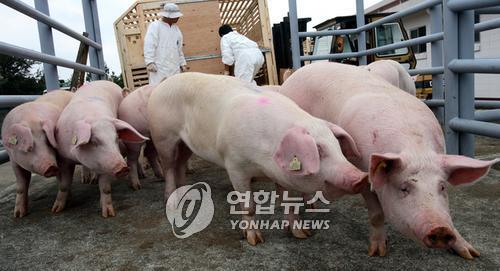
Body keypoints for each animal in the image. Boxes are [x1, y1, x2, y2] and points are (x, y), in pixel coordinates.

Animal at [1, 90, 73, 218]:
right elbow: (21, 186)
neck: (30, 117)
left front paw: (56, 210)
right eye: (30, 148)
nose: (51, 166)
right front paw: (18, 215)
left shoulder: (64, 159)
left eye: (48, 142)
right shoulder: (14, 161)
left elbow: (65, 182)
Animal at [55, 79, 148, 218]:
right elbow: (64, 185)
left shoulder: (104, 163)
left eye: (116, 138)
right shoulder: (64, 158)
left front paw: (108, 215)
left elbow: (105, 188)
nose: (122, 167)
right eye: (94, 141)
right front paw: (56, 210)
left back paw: (140, 181)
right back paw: (90, 180)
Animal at [147, 73, 368, 246]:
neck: (264, 160)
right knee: (169, 167)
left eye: (337, 147)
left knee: (180, 164)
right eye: (319, 150)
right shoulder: (235, 166)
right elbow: (249, 205)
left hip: (185, 144)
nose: (361, 177)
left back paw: (186, 195)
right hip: (163, 137)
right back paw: (172, 202)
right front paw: (254, 240)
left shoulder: (282, 174)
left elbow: (289, 202)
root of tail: (162, 84)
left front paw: (302, 234)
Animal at [280, 62, 498, 262]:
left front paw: (472, 254)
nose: (440, 229)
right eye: (404, 188)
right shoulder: (363, 173)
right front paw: (377, 252)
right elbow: (376, 214)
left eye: (442, 187)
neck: (415, 148)